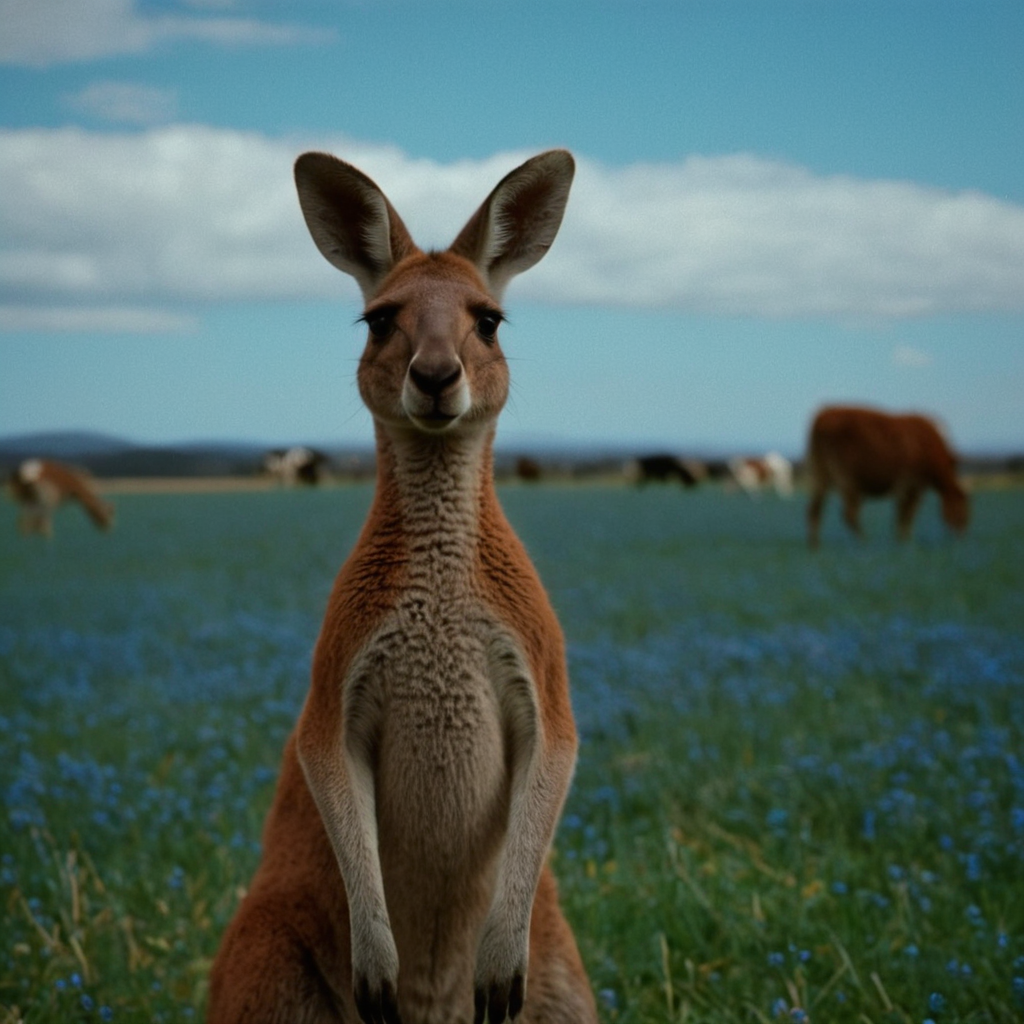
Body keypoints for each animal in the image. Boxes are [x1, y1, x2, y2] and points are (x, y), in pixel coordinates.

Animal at [806, 405, 969, 548]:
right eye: (962, 510)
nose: (962, 534)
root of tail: (823, 415)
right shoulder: (911, 485)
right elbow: (906, 515)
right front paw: (906, 541)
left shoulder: (907, 488)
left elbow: (902, 515)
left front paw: (902, 541)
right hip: (847, 479)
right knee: (849, 514)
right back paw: (866, 542)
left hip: (820, 476)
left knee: (814, 510)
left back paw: (815, 546)